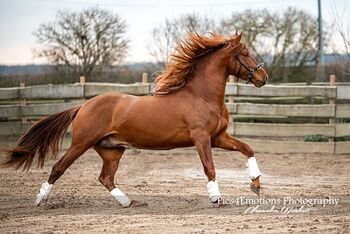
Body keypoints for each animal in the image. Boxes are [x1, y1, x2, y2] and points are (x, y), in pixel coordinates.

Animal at [0, 32, 268, 207]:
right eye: (245, 52)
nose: (263, 77)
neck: (201, 95)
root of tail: (83, 106)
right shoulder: (202, 138)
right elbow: (209, 167)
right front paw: (216, 197)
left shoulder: (218, 137)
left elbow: (247, 149)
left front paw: (255, 185)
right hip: (80, 144)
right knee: (58, 168)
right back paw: (39, 200)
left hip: (112, 150)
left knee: (105, 177)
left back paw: (127, 202)